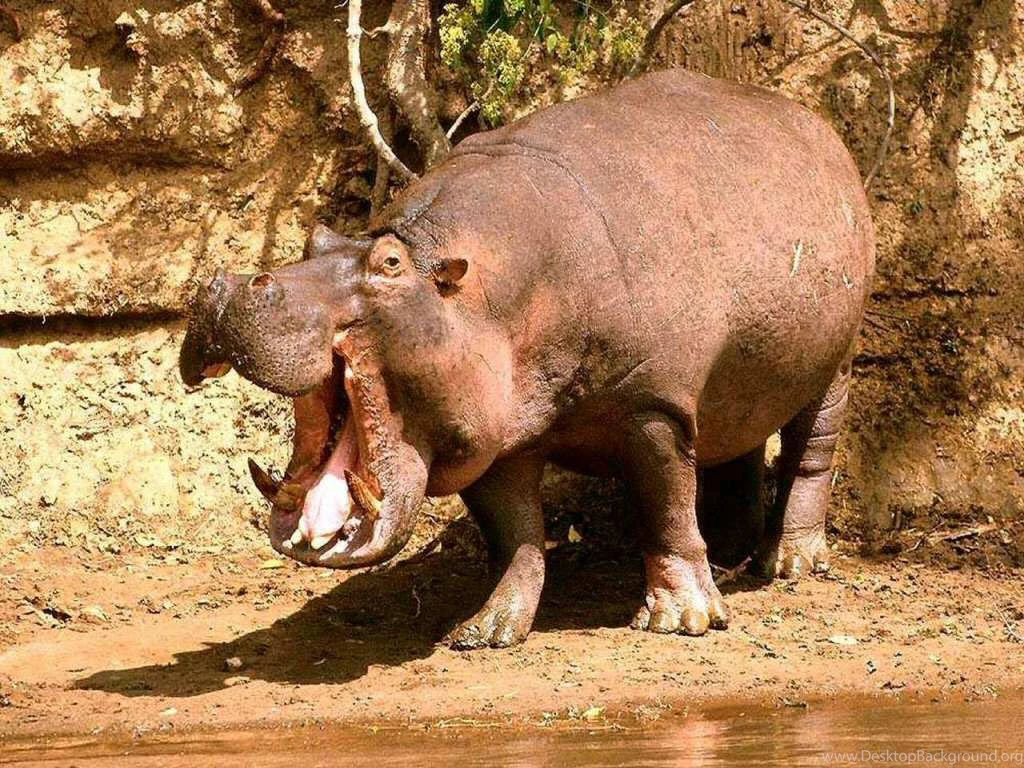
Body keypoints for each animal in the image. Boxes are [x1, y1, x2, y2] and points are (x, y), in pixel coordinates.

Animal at [180, 68, 874, 648]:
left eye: (390, 264)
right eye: (316, 239)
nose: (227, 284)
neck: (475, 285)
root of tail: (816, 125)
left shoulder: (653, 404)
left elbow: (666, 508)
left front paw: (681, 621)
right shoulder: (492, 434)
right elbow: (513, 534)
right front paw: (485, 630)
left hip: (834, 364)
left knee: (811, 451)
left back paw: (788, 564)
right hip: (740, 374)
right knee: (736, 443)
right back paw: (730, 554)